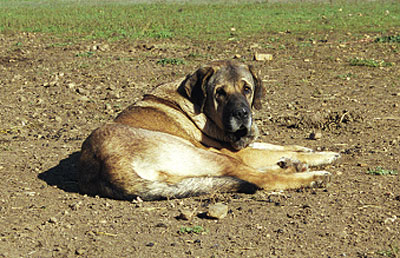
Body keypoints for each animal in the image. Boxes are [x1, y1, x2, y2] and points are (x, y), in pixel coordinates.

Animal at [79, 60, 340, 200]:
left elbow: (275, 145)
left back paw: (293, 166)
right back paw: (312, 176)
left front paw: (306, 150)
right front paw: (321, 156)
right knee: (261, 178)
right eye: (220, 93)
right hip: (208, 155)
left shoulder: (245, 144)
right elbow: (271, 151)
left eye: (247, 89)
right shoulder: (236, 151)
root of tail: (105, 164)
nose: (242, 114)